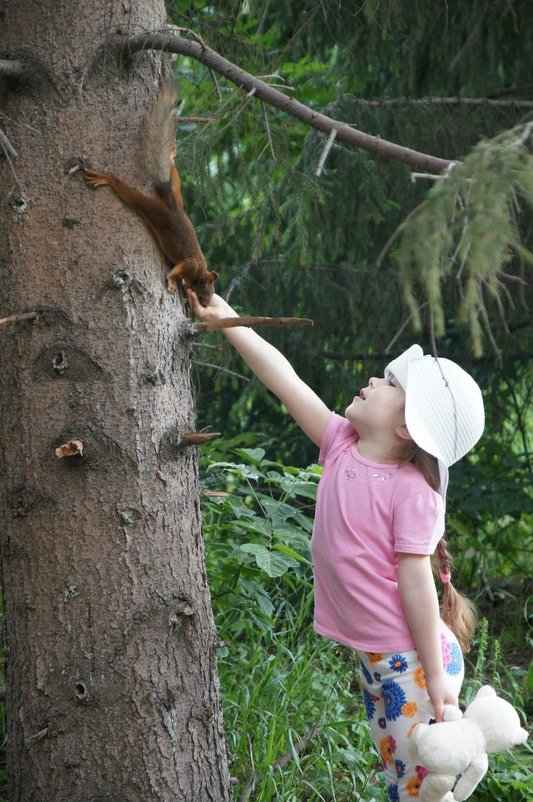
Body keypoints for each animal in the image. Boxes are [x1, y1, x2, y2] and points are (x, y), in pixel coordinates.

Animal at [83, 84, 216, 304]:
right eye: (206, 293)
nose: (205, 305)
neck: (199, 274)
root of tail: (171, 202)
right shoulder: (191, 265)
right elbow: (178, 269)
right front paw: (171, 280)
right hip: (151, 207)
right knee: (129, 193)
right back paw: (107, 179)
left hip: (176, 189)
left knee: (173, 172)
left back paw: (170, 154)